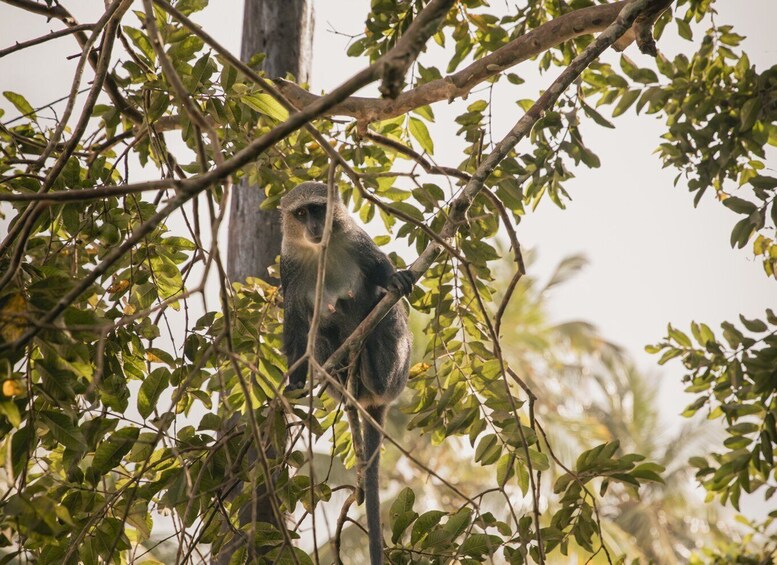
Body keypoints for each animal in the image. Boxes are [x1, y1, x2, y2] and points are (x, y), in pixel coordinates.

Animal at [279, 181, 414, 565]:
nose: (314, 227)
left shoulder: (355, 239)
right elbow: (299, 327)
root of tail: (376, 399)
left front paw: (394, 277)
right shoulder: (289, 268)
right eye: (300, 214)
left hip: (397, 366)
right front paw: (296, 381)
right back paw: (342, 366)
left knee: (386, 306)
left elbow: (380, 268)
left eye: (318, 209)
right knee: (324, 329)